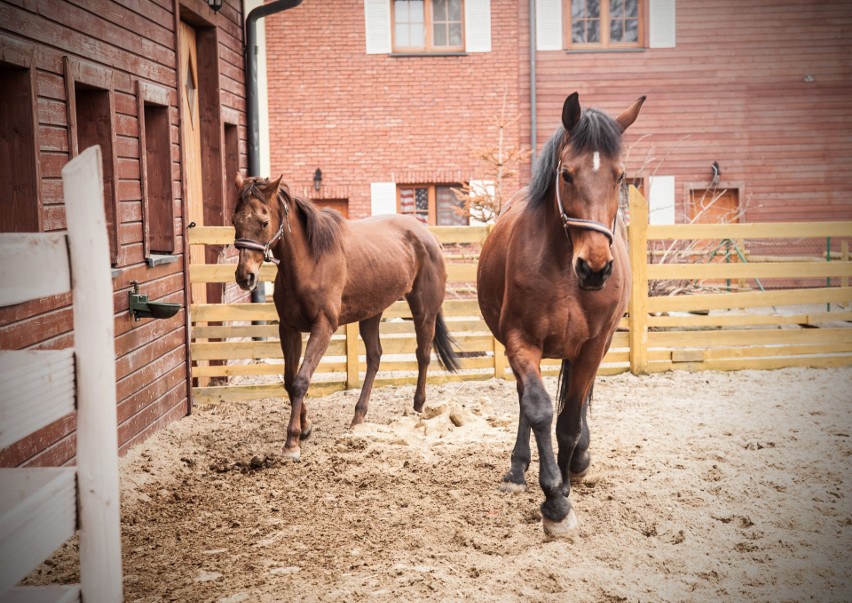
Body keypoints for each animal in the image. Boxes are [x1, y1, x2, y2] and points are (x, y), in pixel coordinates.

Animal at [231, 172, 460, 460]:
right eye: (234, 221)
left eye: (263, 222)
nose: (245, 276)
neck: (311, 261)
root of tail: (428, 235)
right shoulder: (288, 328)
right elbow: (289, 379)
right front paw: (305, 427)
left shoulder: (323, 327)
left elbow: (301, 380)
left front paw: (292, 442)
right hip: (372, 314)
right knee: (375, 357)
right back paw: (358, 417)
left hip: (424, 310)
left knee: (423, 355)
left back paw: (417, 408)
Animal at [476, 91, 644, 536]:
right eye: (566, 175)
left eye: (621, 176)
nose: (595, 267)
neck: (563, 267)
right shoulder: (520, 341)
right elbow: (537, 408)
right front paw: (553, 498)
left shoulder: (593, 346)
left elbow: (568, 420)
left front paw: (565, 485)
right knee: (529, 401)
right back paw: (519, 470)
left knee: (576, 402)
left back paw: (579, 461)